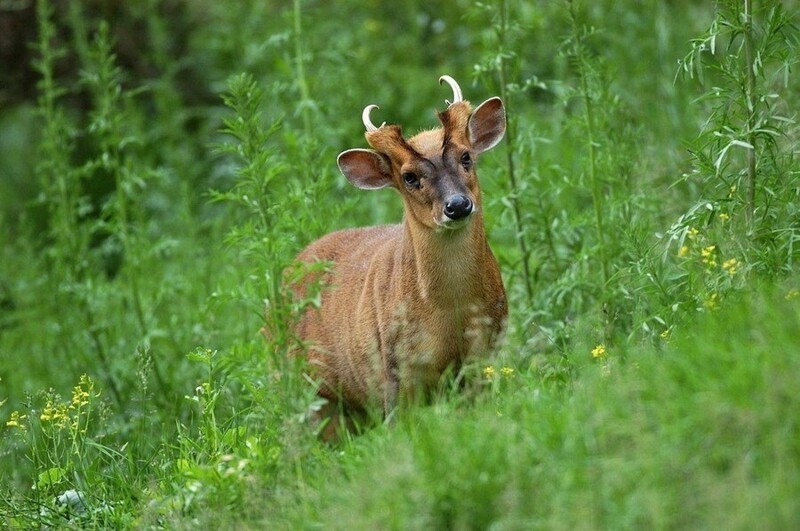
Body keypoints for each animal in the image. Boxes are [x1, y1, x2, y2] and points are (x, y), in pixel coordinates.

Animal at [292, 76, 506, 440]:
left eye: (466, 156)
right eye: (409, 177)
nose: (458, 205)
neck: (451, 312)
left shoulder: (488, 349)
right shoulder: (397, 368)